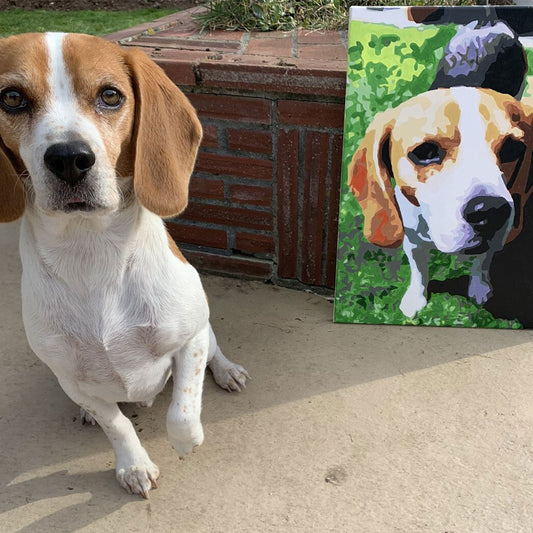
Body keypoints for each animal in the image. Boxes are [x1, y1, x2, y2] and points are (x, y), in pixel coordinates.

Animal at [0, 33, 247, 496]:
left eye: (110, 95)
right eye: (11, 98)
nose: (68, 158)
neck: (92, 251)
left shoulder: (188, 338)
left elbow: (183, 408)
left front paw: (186, 442)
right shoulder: (72, 379)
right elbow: (115, 424)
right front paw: (132, 465)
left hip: (205, 329)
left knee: (214, 352)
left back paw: (227, 371)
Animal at [348, 86, 532, 316]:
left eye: (512, 149)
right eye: (425, 152)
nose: (490, 211)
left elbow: (481, 263)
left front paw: (479, 287)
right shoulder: (413, 240)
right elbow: (419, 270)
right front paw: (415, 299)